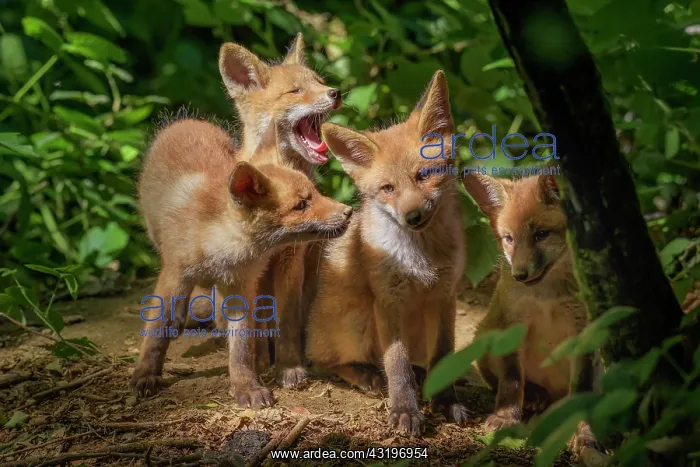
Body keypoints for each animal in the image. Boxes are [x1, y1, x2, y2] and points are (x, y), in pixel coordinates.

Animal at [131, 117, 353, 408]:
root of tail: (187, 121)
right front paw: (146, 373)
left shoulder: (240, 288)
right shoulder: (175, 274)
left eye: (315, 193)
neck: (221, 247)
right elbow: (156, 332)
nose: (348, 212)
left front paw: (246, 386)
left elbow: (242, 348)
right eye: (301, 205)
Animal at [187, 33, 343, 388]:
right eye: (295, 91)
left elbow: (286, 321)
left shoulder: (291, 259)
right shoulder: (250, 268)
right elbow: (253, 326)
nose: (336, 93)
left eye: (320, 82)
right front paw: (257, 366)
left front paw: (289, 367)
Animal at [305, 71, 469, 435]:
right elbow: (396, 364)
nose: (413, 217)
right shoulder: (387, 300)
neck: (421, 258)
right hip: (357, 318)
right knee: (325, 362)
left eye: (424, 175)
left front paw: (445, 401)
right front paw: (405, 409)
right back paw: (365, 375)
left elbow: (444, 355)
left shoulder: (445, 296)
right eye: (387, 189)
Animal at [462, 173, 598, 456]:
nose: (520, 275)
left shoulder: (581, 329)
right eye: (509, 238)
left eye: (542, 234)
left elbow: (581, 390)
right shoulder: (514, 324)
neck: (546, 296)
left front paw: (583, 432)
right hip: (486, 335)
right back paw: (535, 395)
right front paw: (506, 418)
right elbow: (512, 381)